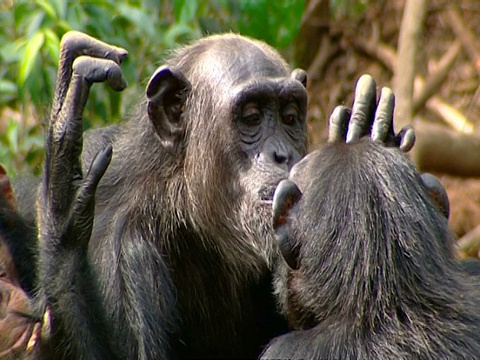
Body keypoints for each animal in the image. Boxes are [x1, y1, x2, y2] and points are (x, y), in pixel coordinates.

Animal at [16, 31, 414, 360]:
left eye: (289, 118)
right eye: (251, 117)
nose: (282, 155)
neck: (181, 207)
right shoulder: (118, 254)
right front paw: (64, 196)